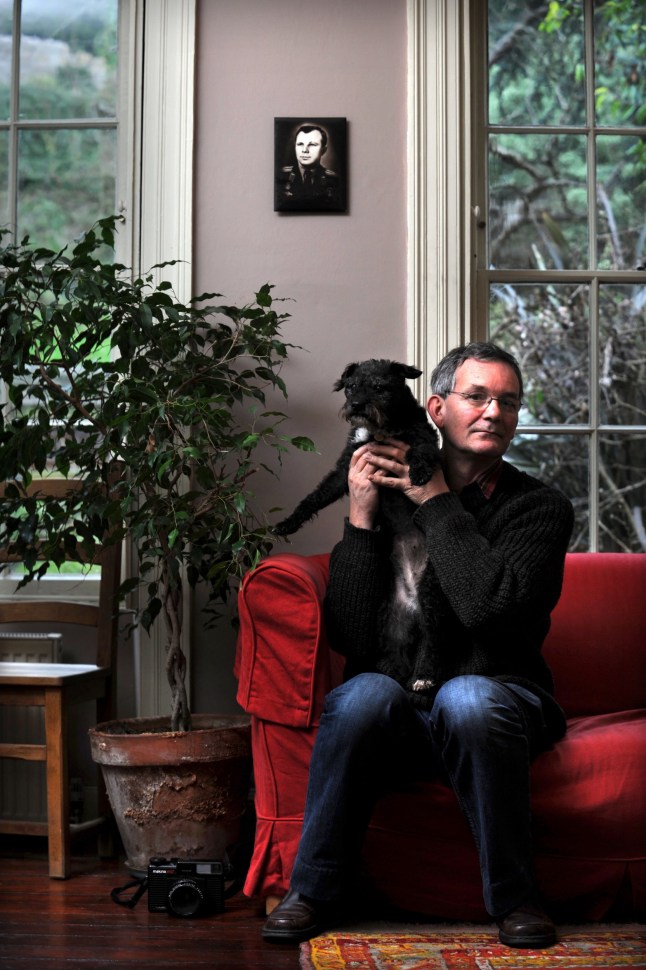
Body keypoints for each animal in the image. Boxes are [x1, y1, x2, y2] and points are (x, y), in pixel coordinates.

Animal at [274, 358, 441, 537]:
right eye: (351, 386)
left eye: (378, 387)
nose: (356, 405)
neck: (378, 430)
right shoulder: (344, 468)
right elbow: (317, 495)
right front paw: (288, 523)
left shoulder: (425, 435)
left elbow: (421, 450)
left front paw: (419, 472)